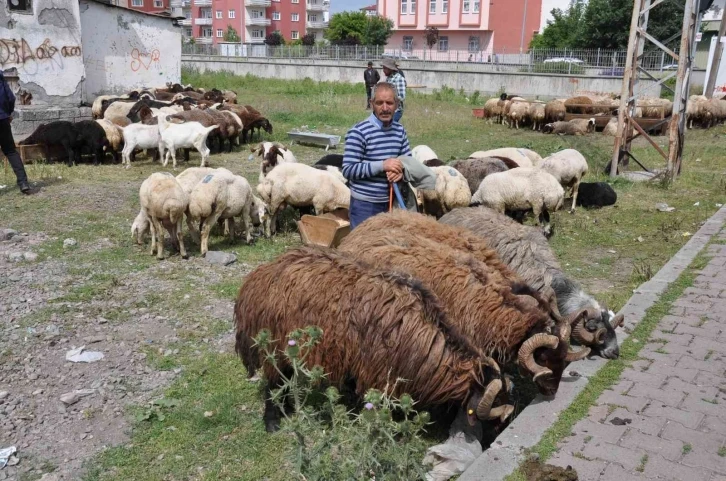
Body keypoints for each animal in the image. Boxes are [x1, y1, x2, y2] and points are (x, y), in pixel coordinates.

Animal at [236, 248, 510, 432]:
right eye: (494, 414)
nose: (498, 436)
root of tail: (260, 277)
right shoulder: (376, 372)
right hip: (274, 345)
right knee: (274, 381)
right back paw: (272, 421)